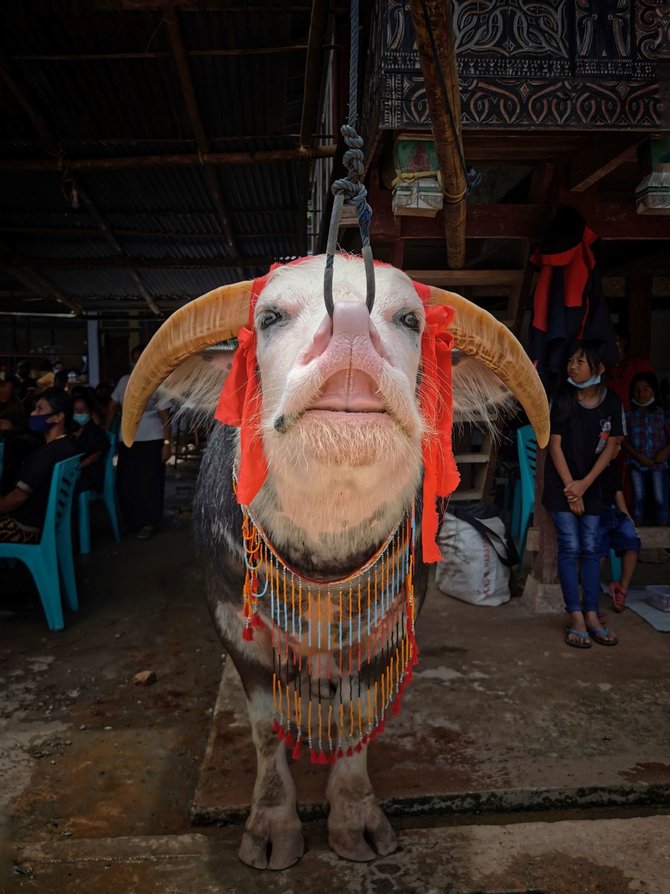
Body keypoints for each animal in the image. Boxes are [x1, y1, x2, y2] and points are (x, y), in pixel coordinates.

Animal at [122, 256, 552, 872]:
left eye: (410, 320)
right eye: (271, 316)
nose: (350, 330)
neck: (324, 565)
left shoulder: (388, 628)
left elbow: (357, 719)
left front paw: (357, 822)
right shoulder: (233, 622)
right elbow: (265, 730)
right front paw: (271, 828)